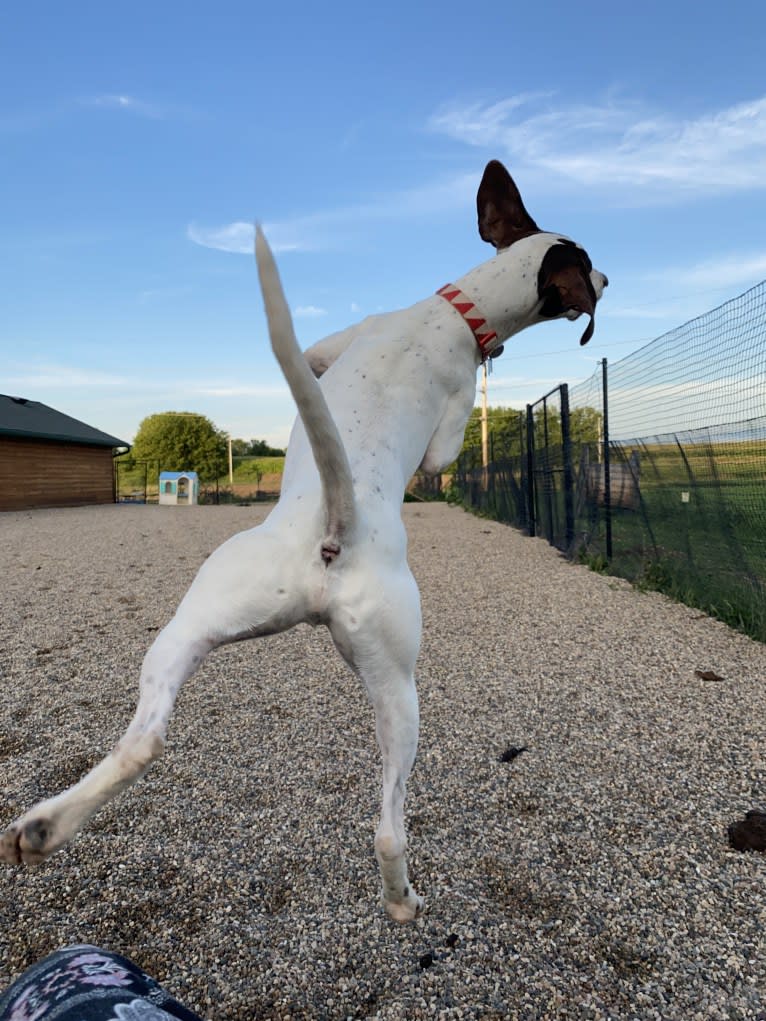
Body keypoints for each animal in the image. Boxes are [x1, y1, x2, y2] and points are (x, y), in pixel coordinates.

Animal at [3, 161, 608, 927]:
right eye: (586, 263)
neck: (454, 312)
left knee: (159, 747)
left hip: (240, 634)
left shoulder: (405, 410)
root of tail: (336, 529)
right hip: (341, 668)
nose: (610, 278)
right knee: (368, 819)